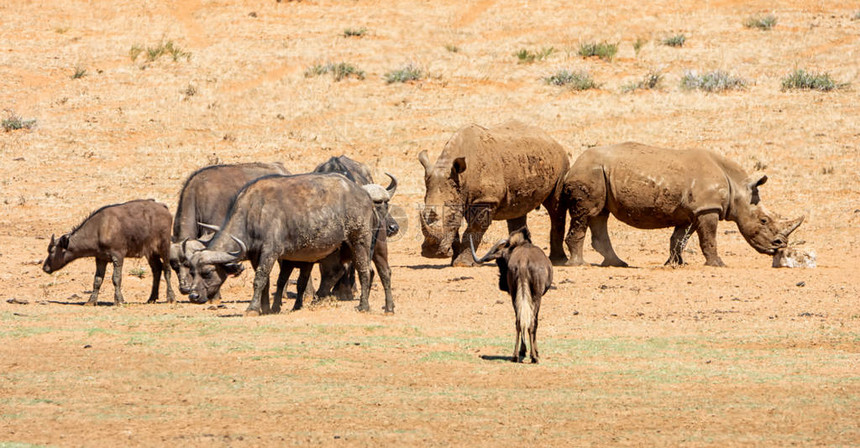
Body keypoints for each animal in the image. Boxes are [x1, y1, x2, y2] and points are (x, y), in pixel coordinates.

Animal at [42, 199, 175, 304]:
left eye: (52, 250)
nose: (45, 268)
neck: (99, 229)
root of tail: (164, 208)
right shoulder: (101, 258)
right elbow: (97, 280)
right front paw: (91, 301)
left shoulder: (118, 257)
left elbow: (116, 279)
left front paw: (119, 300)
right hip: (150, 252)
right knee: (157, 269)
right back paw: (152, 298)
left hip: (164, 246)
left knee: (166, 269)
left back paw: (170, 297)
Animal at [418, 121, 572, 266]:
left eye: (451, 217)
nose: (431, 254)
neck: (462, 177)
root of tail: (552, 140)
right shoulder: (460, 195)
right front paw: (453, 260)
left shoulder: (485, 199)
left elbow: (474, 229)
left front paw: (462, 264)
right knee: (517, 209)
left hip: (562, 162)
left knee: (555, 207)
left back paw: (557, 261)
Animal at [474, 228, 556, 364]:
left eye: (499, 261)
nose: (501, 285)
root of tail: (523, 262)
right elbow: (535, 323)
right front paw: (535, 352)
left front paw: (523, 350)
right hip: (535, 296)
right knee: (531, 323)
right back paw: (534, 357)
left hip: (515, 295)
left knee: (518, 321)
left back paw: (515, 355)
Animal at [560, 142, 804, 266]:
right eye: (763, 220)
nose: (779, 246)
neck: (737, 188)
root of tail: (574, 164)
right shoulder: (708, 209)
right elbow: (709, 238)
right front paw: (718, 264)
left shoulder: (693, 212)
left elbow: (679, 239)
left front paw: (675, 264)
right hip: (589, 172)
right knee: (586, 214)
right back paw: (578, 264)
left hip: (599, 173)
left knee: (600, 214)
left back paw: (617, 263)